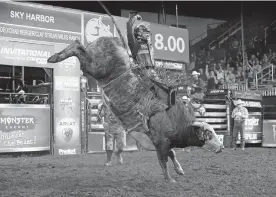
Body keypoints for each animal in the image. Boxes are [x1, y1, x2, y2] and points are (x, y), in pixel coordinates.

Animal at [47, 4, 224, 183]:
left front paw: (179, 170)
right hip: (96, 67)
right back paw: (55, 57)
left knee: (80, 47)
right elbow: (163, 161)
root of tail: (113, 41)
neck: (174, 119)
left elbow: (172, 154)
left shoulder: (161, 142)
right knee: (78, 47)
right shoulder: (160, 142)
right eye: (209, 134)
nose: (222, 147)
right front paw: (169, 179)